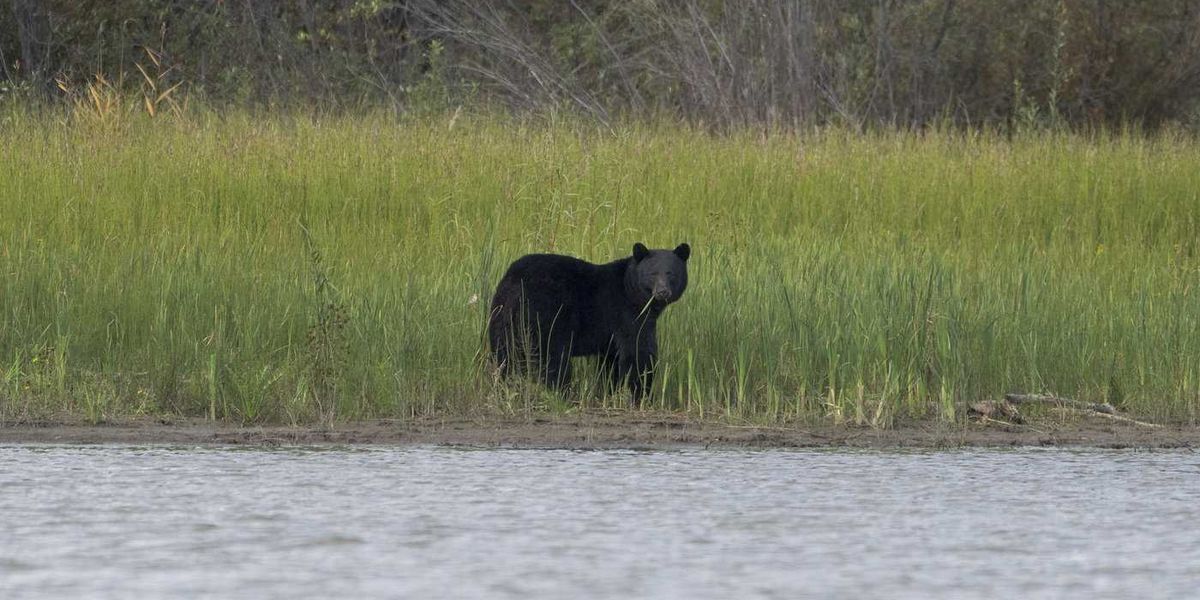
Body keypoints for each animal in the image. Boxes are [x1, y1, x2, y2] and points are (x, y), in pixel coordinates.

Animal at [487, 242, 691, 403]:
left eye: (671, 273)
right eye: (653, 273)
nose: (662, 292)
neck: (631, 291)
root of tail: (515, 280)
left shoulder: (611, 336)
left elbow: (612, 362)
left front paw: (610, 393)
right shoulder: (627, 314)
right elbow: (638, 352)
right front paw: (643, 396)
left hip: (501, 316)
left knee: (504, 356)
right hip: (545, 317)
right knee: (552, 359)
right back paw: (564, 394)